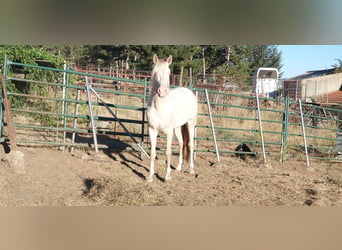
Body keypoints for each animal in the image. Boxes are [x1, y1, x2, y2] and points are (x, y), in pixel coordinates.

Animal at [145, 54, 198, 182]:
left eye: (168, 72)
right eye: (155, 72)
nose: (162, 91)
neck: (159, 107)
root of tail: (188, 91)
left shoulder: (169, 131)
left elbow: (168, 152)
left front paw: (167, 176)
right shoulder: (152, 129)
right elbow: (152, 153)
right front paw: (150, 176)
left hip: (190, 124)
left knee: (190, 145)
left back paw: (191, 170)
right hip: (178, 127)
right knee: (181, 143)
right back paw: (178, 167)